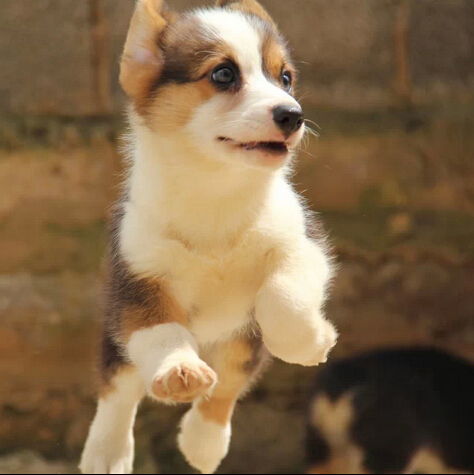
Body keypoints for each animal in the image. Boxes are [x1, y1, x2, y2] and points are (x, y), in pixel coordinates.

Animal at [79, 1, 336, 474]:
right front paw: (179, 371)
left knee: (229, 382)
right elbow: (161, 333)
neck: (216, 185)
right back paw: (107, 452)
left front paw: (310, 342)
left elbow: (283, 298)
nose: (293, 116)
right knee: (119, 387)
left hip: (243, 340)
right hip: (117, 334)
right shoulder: (138, 283)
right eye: (223, 74)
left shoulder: (302, 245)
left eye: (285, 77)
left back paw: (204, 442)